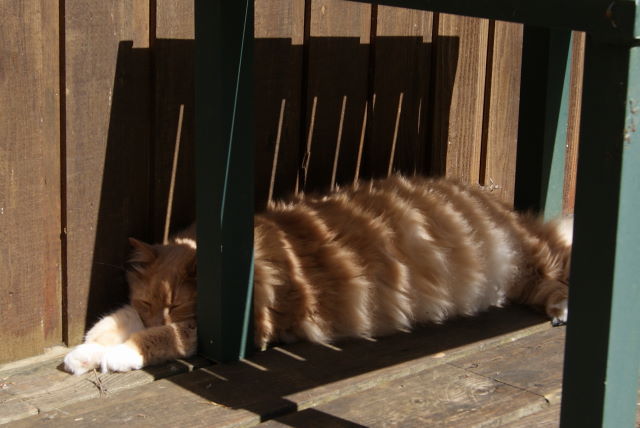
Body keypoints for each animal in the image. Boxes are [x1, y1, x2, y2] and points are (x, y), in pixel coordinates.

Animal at [64, 175, 572, 375]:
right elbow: (114, 323)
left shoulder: (232, 327)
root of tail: (492, 200)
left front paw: (118, 355)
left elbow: (154, 339)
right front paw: (85, 352)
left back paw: (567, 308)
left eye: (175, 305)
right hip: (518, 279)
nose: (156, 315)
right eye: (149, 303)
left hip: (535, 257)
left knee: (562, 267)